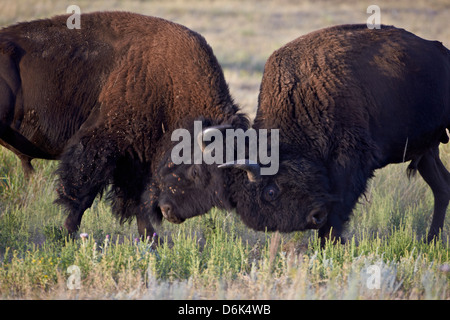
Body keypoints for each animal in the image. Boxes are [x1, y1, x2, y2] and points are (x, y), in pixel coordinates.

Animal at [0, 11, 248, 238]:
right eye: (197, 171)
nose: (172, 213)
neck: (172, 85)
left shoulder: (137, 159)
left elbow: (138, 202)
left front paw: (153, 242)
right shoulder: (101, 143)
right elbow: (83, 194)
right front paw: (67, 235)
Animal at [155, 23, 450, 241]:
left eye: (270, 191)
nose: (313, 217)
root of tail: (441, 51)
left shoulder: (351, 162)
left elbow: (339, 211)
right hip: (428, 150)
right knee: (442, 187)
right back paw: (430, 240)